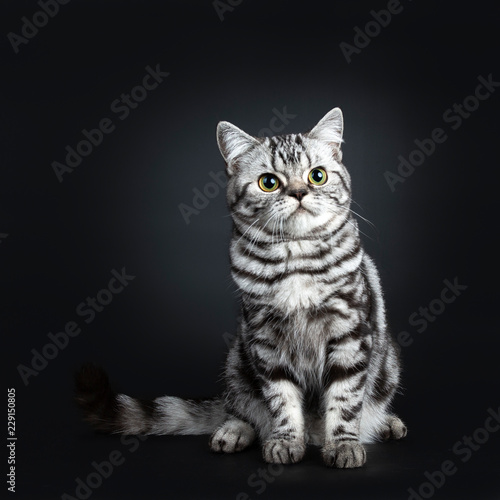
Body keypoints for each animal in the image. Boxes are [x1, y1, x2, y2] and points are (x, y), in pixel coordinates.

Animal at [76, 106, 408, 468]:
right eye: (269, 183)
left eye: (317, 176)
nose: (299, 193)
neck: (296, 256)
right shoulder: (265, 339)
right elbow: (281, 399)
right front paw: (286, 441)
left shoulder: (350, 333)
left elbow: (345, 398)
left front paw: (343, 445)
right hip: (237, 361)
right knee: (241, 409)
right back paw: (233, 432)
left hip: (387, 364)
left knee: (367, 407)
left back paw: (385, 423)